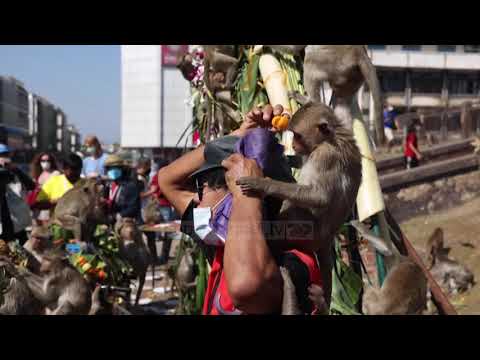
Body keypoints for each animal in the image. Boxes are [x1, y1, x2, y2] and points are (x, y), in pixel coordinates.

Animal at [234, 102, 362, 306]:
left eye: (298, 135)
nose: (293, 145)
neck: (330, 137)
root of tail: (327, 238)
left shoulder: (325, 156)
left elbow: (320, 197)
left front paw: (263, 184)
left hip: (307, 234)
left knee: (294, 207)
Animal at [255, 45, 386, 145]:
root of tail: (359, 53)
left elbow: (293, 48)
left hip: (334, 61)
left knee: (311, 56)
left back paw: (308, 101)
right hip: (352, 77)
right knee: (341, 100)